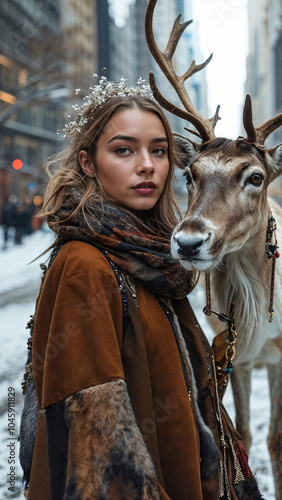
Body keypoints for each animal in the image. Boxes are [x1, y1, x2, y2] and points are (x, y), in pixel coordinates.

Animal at [145, 0, 282, 498]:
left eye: (255, 176)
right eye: (189, 174)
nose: (187, 241)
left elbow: (275, 438)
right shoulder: (235, 357)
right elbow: (241, 434)